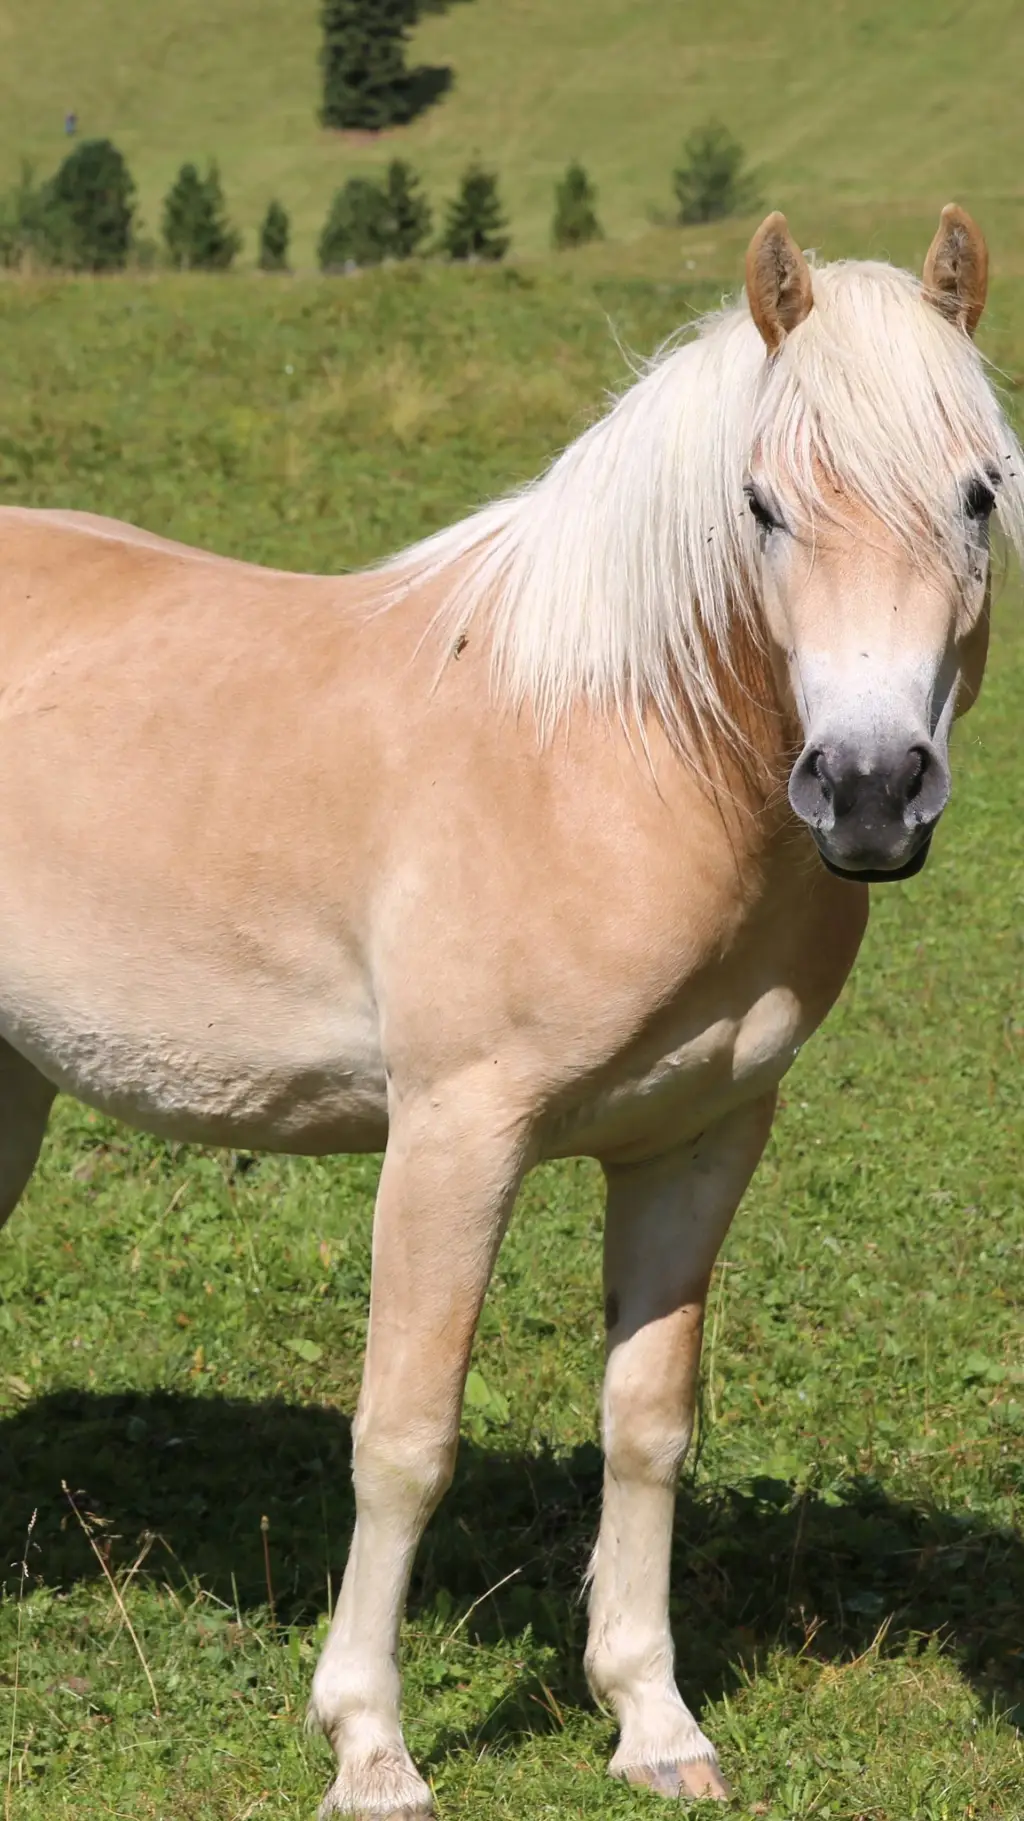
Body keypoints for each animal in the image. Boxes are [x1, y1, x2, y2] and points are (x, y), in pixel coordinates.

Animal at [0, 206, 1018, 1816]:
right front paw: (370, 1745)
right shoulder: (452, 1136)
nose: (865, 792)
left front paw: (653, 1722)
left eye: (979, 494)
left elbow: (648, 1425)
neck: (604, 757)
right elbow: (406, 1438)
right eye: (761, 507)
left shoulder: (699, 1141)